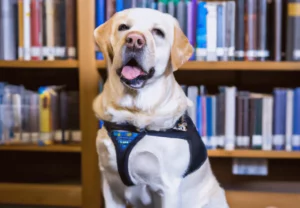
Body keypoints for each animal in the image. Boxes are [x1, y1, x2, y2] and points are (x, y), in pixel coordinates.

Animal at [92, 7, 229, 207]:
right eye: (123, 27)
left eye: (158, 32)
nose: (134, 40)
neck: (134, 114)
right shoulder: (110, 185)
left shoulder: (168, 188)